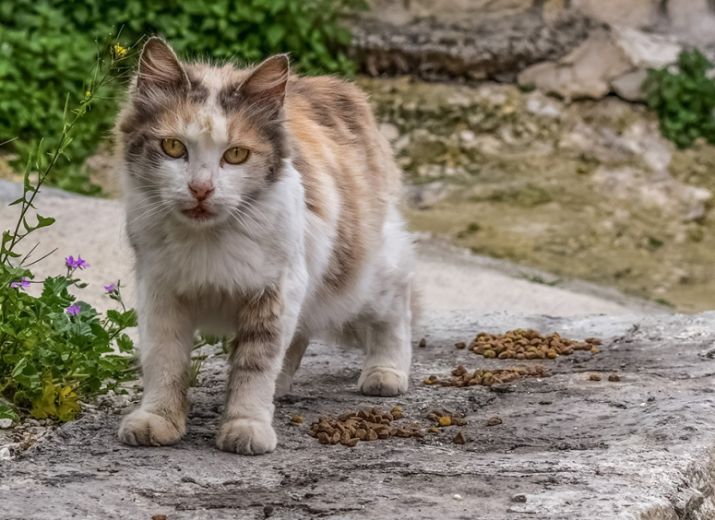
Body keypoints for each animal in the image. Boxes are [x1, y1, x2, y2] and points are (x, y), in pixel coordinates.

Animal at [113, 37, 414, 456]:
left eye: (236, 155)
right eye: (173, 147)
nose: (201, 189)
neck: (207, 239)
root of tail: (338, 87)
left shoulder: (276, 292)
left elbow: (254, 367)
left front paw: (246, 425)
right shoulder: (160, 292)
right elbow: (164, 361)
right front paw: (159, 420)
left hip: (365, 274)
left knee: (395, 310)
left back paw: (386, 371)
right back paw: (283, 388)